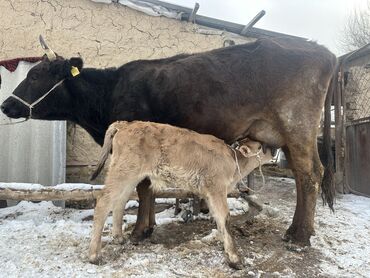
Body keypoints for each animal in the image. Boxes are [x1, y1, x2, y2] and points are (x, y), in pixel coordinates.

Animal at [89, 121, 272, 270]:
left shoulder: (210, 193)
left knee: (119, 201)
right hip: (124, 172)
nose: (275, 149)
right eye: (262, 146)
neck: (234, 163)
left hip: (130, 175)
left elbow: (218, 220)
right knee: (103, 201)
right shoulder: (217, 189)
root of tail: (126, 124)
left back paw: (118, 237)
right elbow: (224, 219)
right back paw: (94, 255)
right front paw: (235, 259)